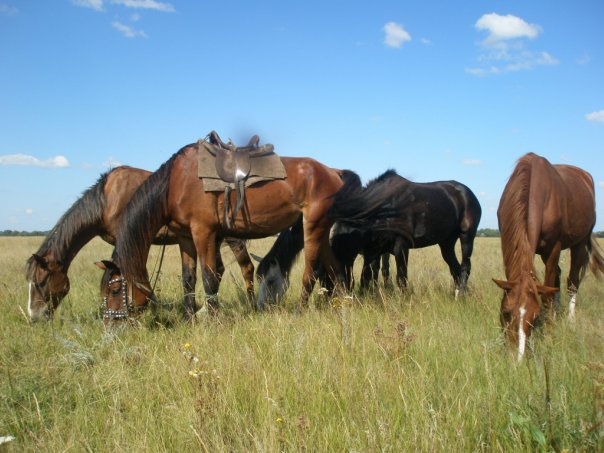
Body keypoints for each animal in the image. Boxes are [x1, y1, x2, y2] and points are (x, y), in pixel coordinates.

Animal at [24, 166, 252, 322]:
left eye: (41, 282)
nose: (34, 316)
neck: (107, 200)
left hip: (228, 237)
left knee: (245, 266)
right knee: (219, 270)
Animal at [96, 136, 376, 320]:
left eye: (115, 289)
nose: (112, 324)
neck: (175, 183)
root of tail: (333, 172)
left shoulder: (204, 232)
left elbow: (209, 277)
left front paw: (212, 318)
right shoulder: (186, 237)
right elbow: (188, 278)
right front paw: (189, 317)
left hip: (313, 226)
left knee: (310, 270)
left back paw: (300, 310)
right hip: (321, 228)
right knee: (336, 268)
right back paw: (344, 306)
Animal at [326, 170, 482, 296]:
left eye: (344, 246)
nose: (342, 288)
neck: (385, 209)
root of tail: (468, 193)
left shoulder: (400, 246)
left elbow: (401, 277)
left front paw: (404, 300)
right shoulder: (374, 250)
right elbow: (368, 275)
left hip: (467, 236)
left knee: (465, 266)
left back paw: (461, 295)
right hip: (446, 243)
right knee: (455, 268)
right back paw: (457, 293)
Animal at [494, 154, 600, 358]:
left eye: (535, 317)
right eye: (506, 312)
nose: (517, 357)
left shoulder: (553, 248)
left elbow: (547, 295)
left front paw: (550, 333)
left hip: (580, 243)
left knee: (572, 281)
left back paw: (569, 319)